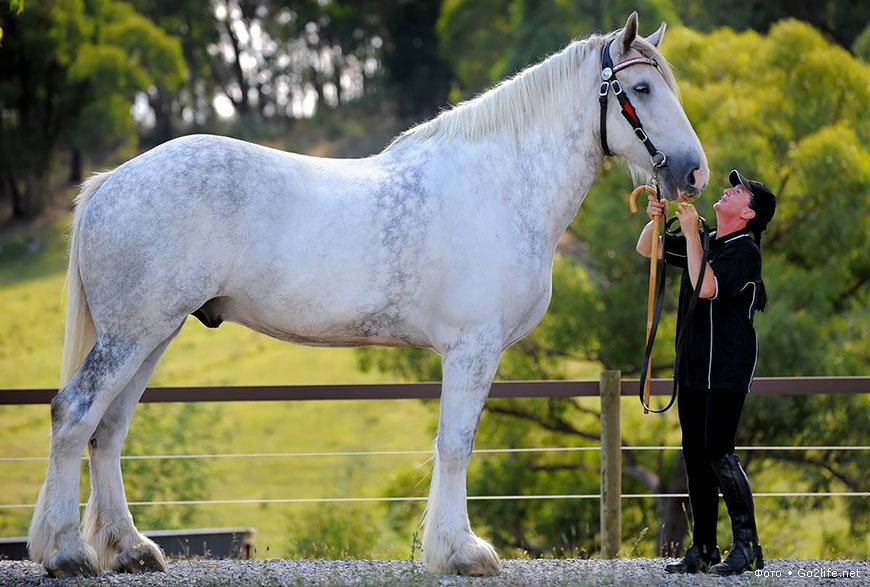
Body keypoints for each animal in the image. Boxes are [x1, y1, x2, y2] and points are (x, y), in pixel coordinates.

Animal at [29, 12, 708, 580]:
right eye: (642, 89)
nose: (695, 172)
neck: (499, 184)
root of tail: (112, 180)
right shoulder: (472, 349)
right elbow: (455, 445)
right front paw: (462, 552)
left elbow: (451, 446)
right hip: (132, 334)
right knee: (74, 415)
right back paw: (67, 553)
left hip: (153, 333)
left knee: (108, 431)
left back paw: (129, 549)